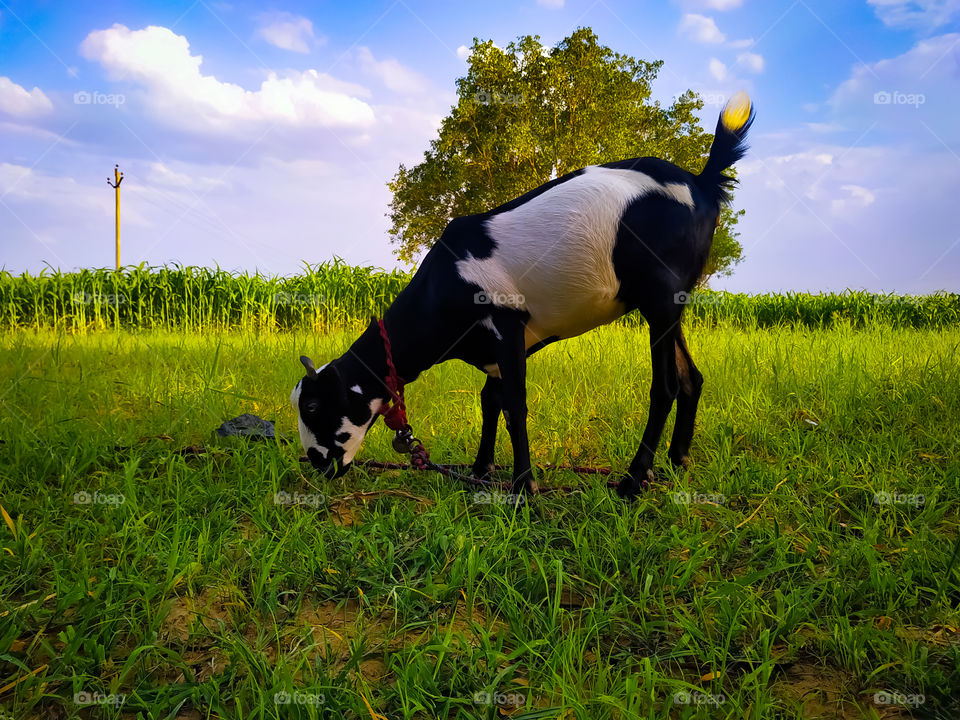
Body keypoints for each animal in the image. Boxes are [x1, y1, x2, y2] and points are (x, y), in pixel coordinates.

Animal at [291, 92, 754, 500]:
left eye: (313, 407)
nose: (316, 462)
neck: (443, 284)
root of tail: (701, 182)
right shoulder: (498, 349)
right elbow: (490, 401)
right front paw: (480, 470)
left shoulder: (504, 321)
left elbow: (514, 406)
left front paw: (523, 487)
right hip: (670, 302)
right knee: (692, 378)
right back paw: (677, 462)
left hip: (660, 295)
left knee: (666, 387)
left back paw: (633, 480)